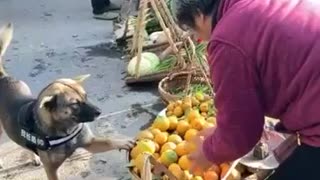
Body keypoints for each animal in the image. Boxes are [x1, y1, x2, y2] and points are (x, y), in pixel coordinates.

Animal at [0, 23, 134, 179]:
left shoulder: (90, 143)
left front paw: (123, 142)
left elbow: (108, 140)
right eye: (74, 104)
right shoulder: (51, 170)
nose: (99, 112)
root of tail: (3, 78)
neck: (65, 131)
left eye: (86, 96)